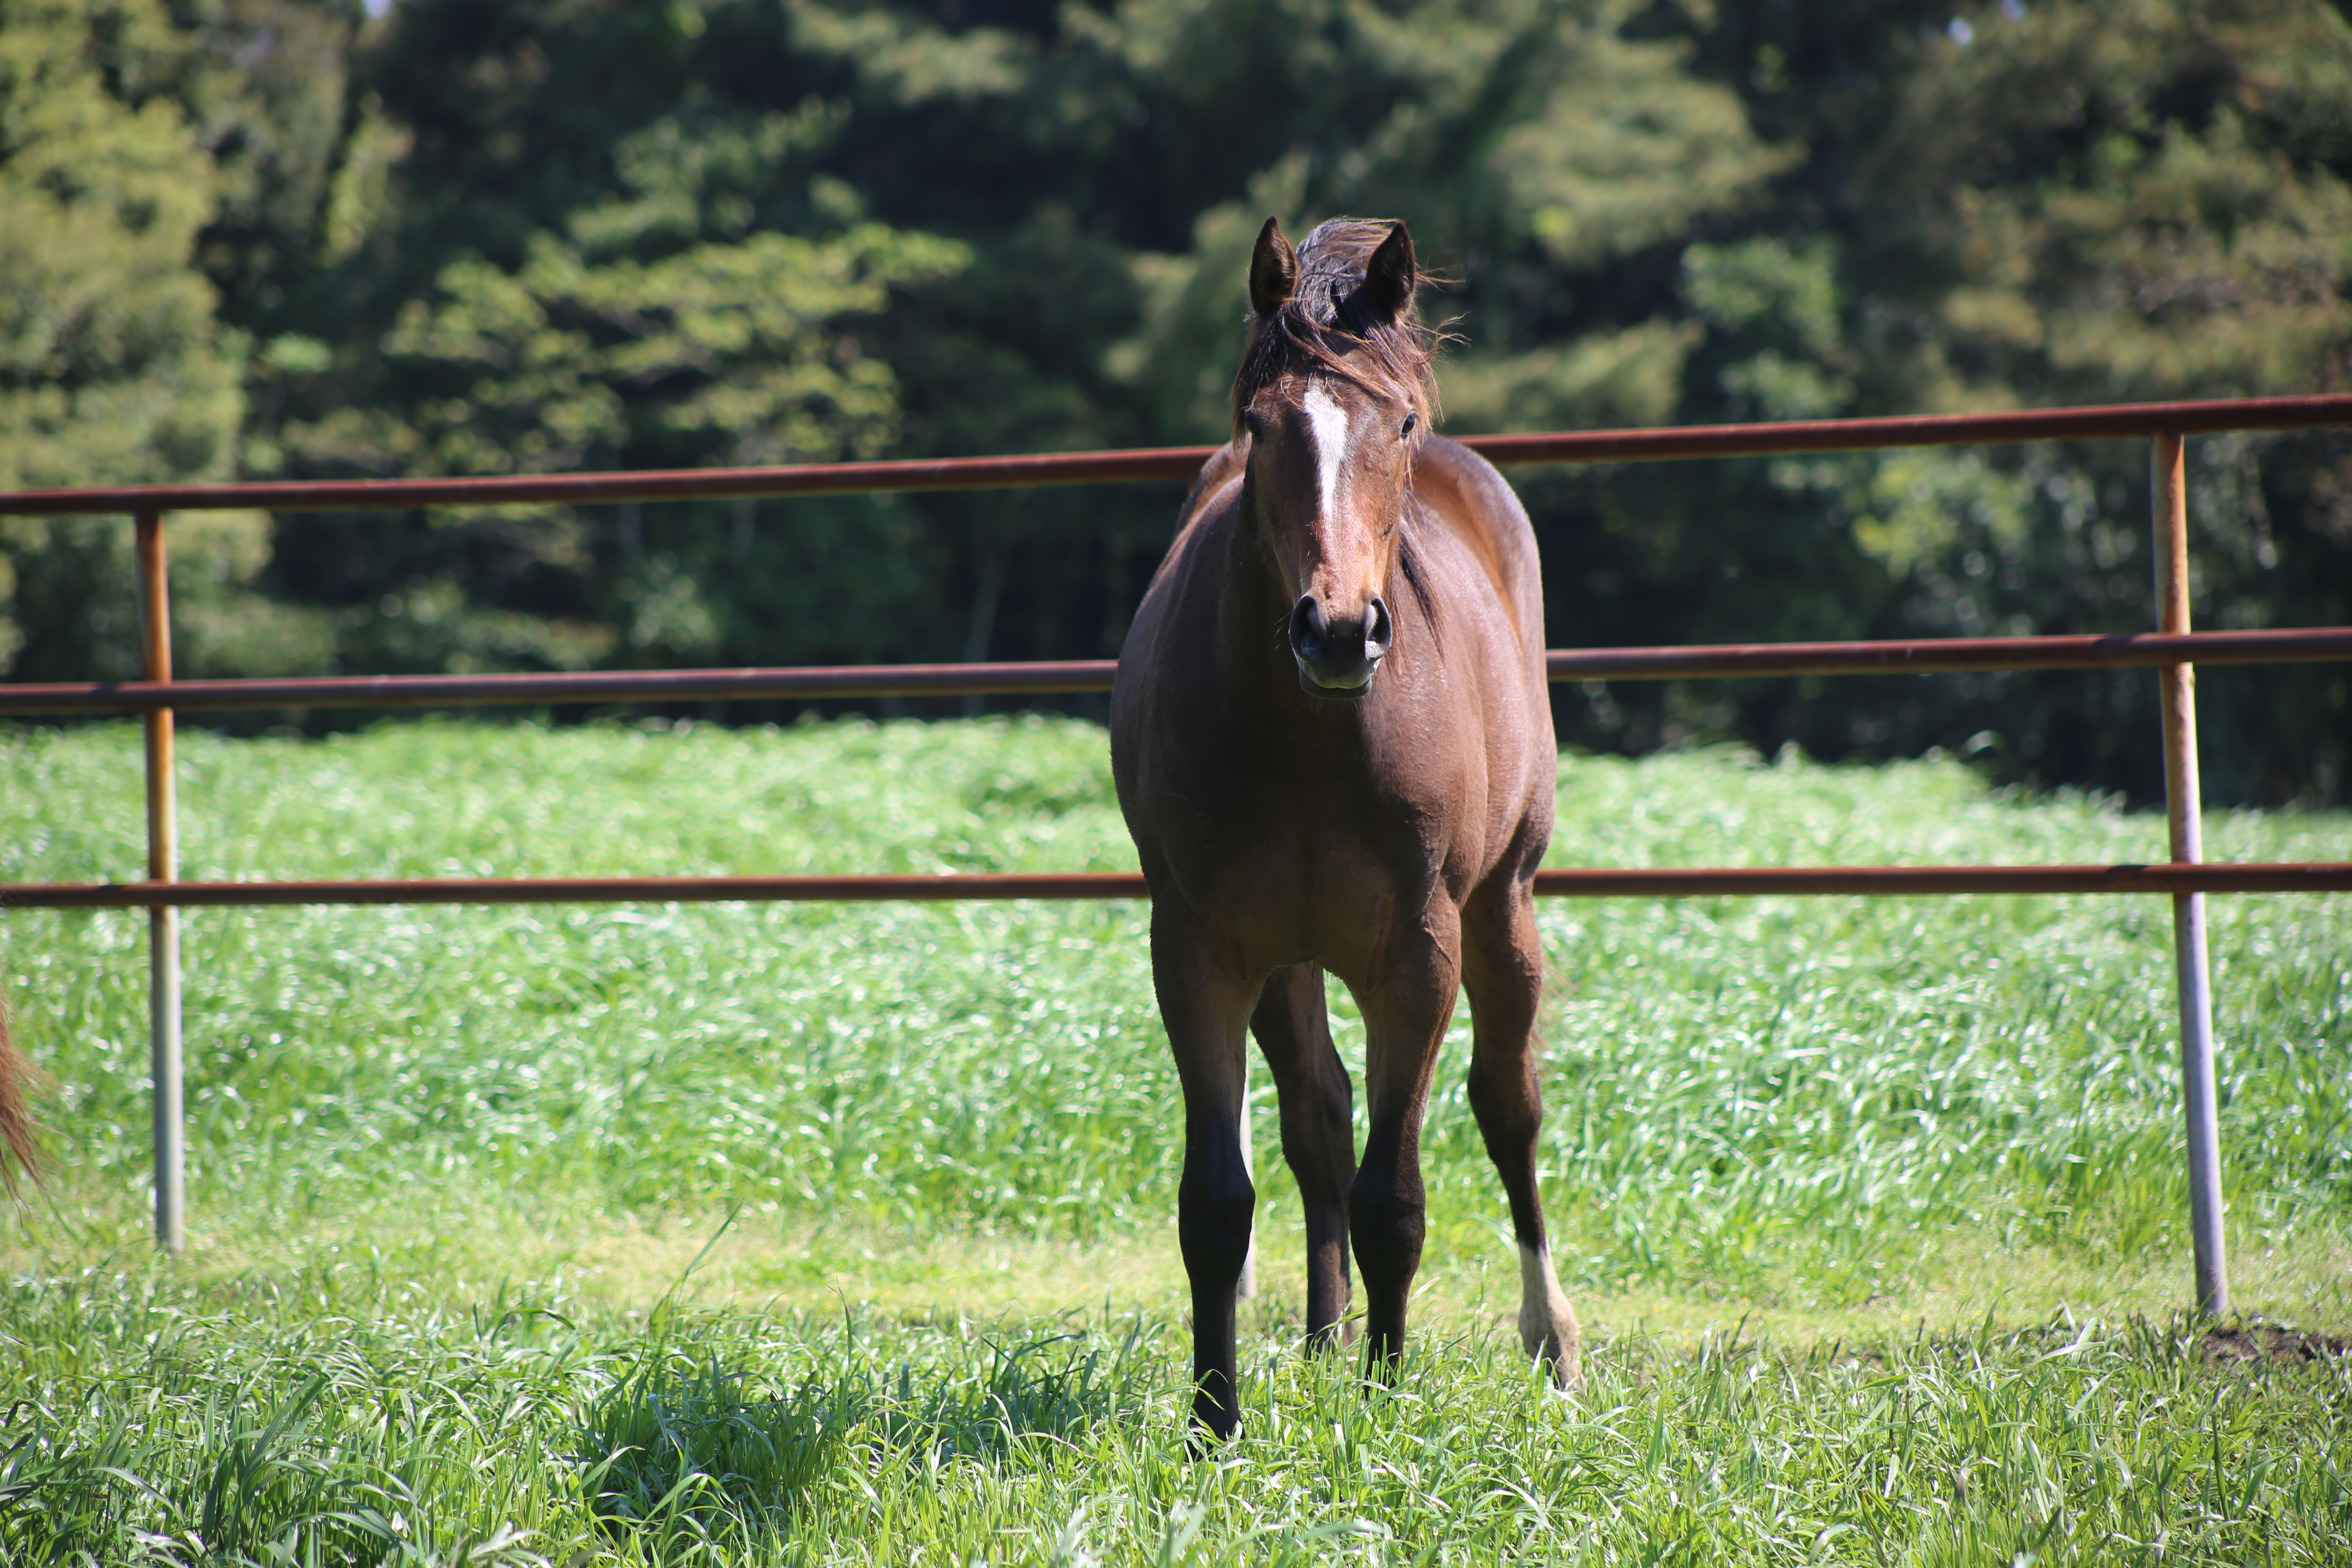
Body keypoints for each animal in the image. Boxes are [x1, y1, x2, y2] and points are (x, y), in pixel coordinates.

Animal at [1105, 215, 1580, 1439]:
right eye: (1256, 424)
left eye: (1396, 423)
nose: (1335, 631)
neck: (1313, 736)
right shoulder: (1201, 950)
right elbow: (1218, 1201)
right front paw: (1212, 1424)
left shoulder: (1417, 952)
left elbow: (1394, 1198)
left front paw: (1386, 1403)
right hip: (1290, 959)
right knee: (1316, 1120)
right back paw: (1324, 1341)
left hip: (1502, 909)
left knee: (1508, 1110)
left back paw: (1549, 1341)